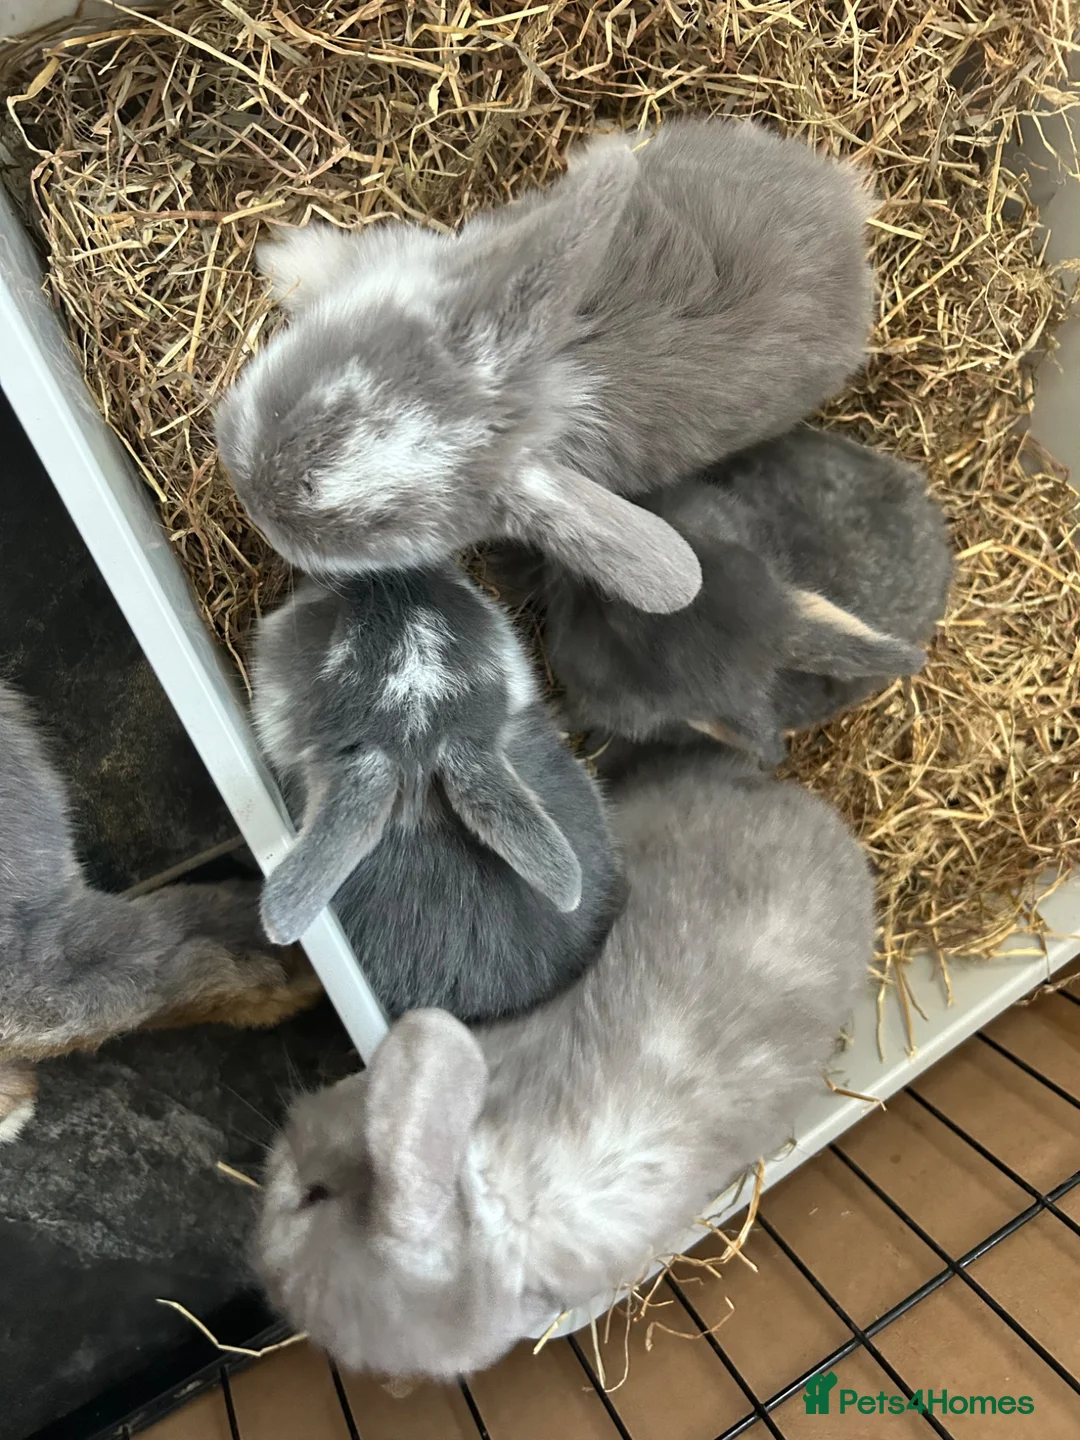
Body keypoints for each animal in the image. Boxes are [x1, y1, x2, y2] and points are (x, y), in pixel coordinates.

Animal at [215, 116, 875, 615]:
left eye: (383, 529)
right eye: (312, 401)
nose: (248, 492)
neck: (554, 378)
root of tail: (849, 202)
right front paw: (281, 255)